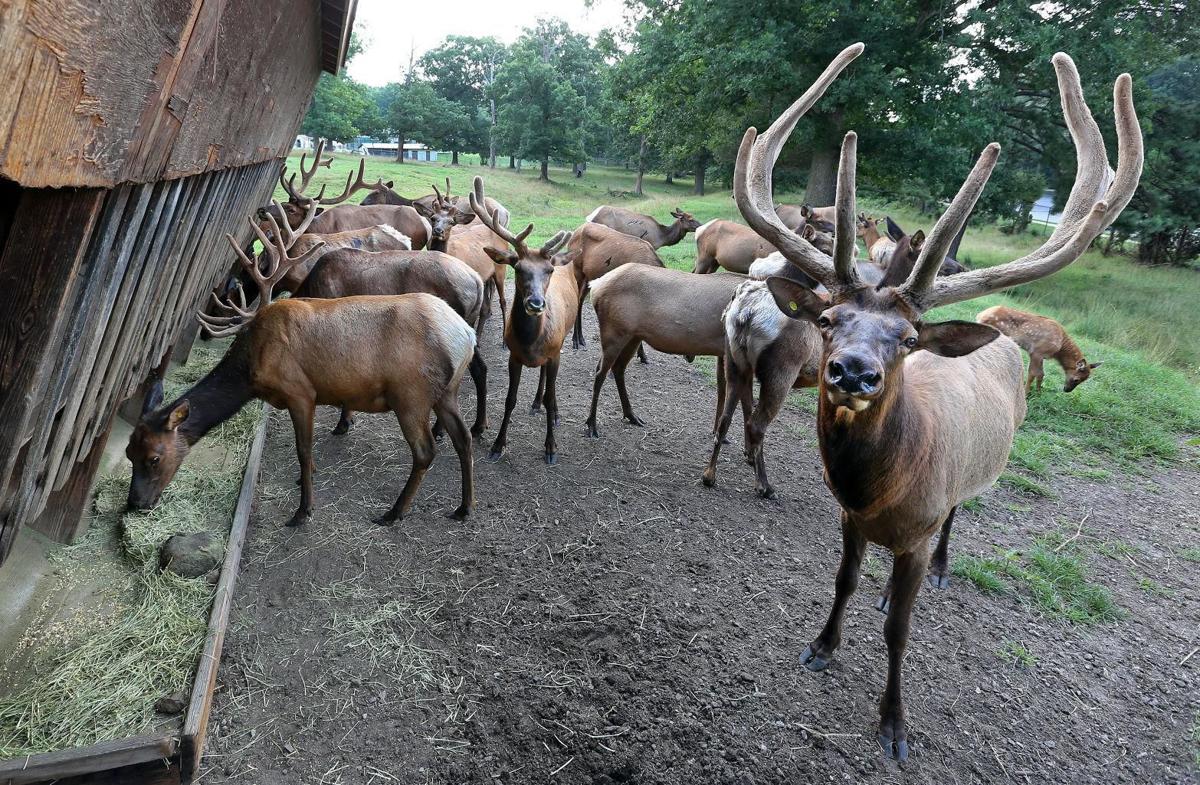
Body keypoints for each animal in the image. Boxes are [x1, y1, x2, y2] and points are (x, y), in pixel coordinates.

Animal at [293, 248, 490, 438]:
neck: (310, 288)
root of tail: (478, 281)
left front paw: (343, 423)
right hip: (468, 327)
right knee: (480, 368)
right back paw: (478, 426)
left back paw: (440, 430)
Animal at [468, 177, 580, 464]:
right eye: (518, 268)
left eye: (548, 270)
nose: (536, 304)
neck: (531, 343)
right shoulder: (514, 356)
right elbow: (510, 399)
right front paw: (498, 444)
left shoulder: (554, 354)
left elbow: (551, 395)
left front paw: (550, 447)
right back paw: (536, 402)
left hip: (561, 342)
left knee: (550, 385)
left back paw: (550, 409)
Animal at [734, 43, 1140, 761]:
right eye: (829, 319)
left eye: (907, 338)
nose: (853, 372)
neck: (881, 493)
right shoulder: (849, 517)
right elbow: (843, 581)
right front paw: (822, 645)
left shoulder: (917, 532)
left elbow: (901, 629)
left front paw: (894, 723)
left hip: (980, 468)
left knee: (958, 513)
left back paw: (946, 569)